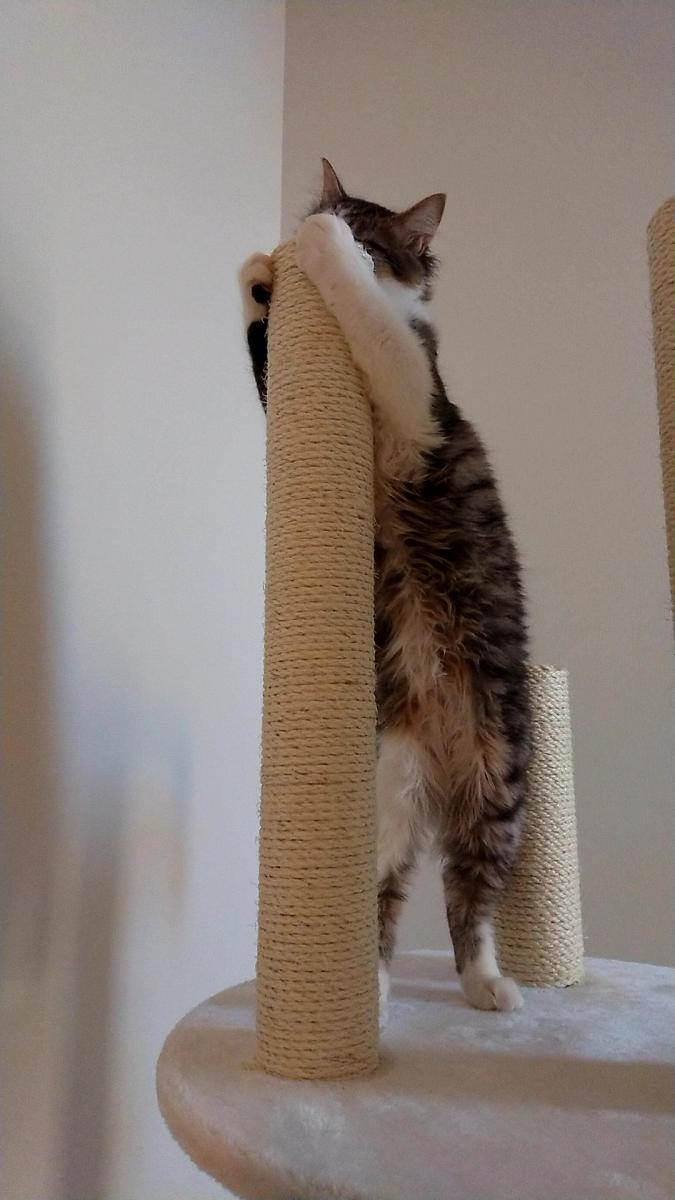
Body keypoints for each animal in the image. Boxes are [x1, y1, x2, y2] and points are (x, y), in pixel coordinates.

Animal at [239, 159, 530, 1018]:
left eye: (372, 242)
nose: (318, 225)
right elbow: (263, 358)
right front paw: (261, 274)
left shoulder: (412, 394)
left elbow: (369, 317)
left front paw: (317, 251)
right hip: (388, 793)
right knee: (383, 898)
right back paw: (366, 991)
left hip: (497, 784)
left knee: (472, 898)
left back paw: (489, 985)